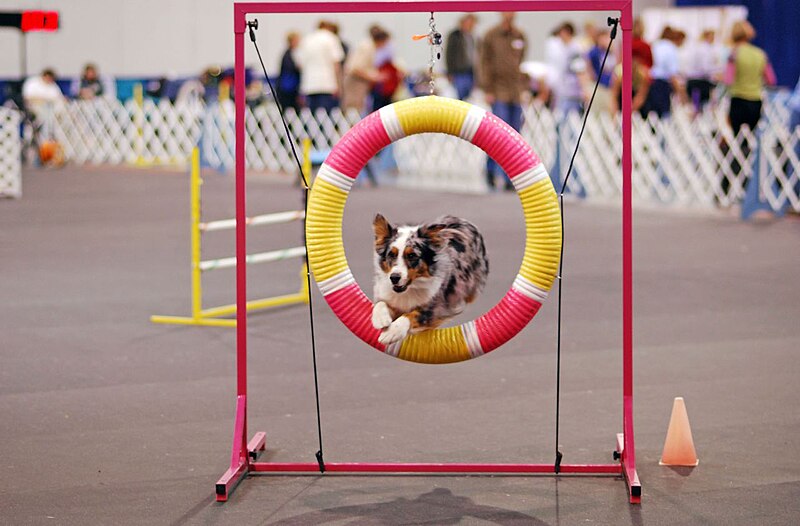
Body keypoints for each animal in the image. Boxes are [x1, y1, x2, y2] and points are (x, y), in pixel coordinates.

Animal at [370, 214, 488, 346]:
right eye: (391, 254)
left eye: (412, 255)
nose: (394, 278)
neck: (410, 288)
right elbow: (380, 303)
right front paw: (380, 319)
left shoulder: (436, 308)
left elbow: (413, 314)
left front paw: (391, 333)